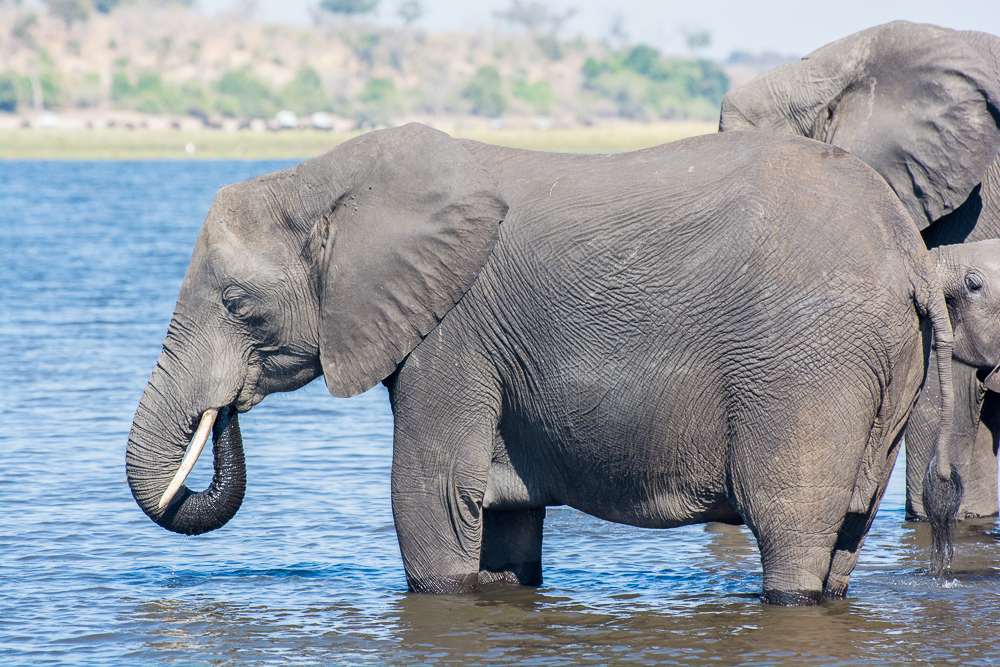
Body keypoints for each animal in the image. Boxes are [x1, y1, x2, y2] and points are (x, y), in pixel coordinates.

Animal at [129, 124, 956, 604]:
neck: (324, 179)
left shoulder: (453, 332)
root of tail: (907, 251)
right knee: (845, 536)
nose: (227, 409)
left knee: (791, 529)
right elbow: (502, 517)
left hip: (808, 362)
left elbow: (428, 496)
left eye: (237, 303)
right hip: (880, 367)